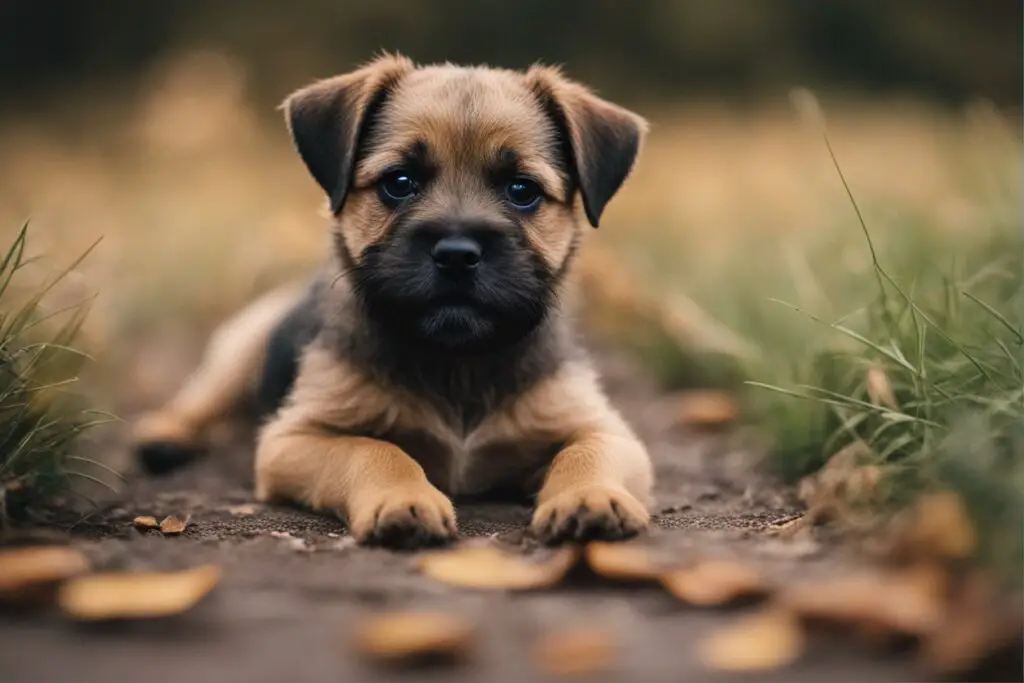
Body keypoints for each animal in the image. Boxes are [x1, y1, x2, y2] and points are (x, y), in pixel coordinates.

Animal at [130, 52, 655, 548]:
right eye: (399, 182)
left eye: (522, 189)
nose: (457, 254)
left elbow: (585, 452)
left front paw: (589, 496)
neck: (457, 362)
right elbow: (376, 450)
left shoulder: (602, 428)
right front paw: (403, 499)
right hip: (240, 345)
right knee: (199, 399)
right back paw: (163, 437)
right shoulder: (294, 439)